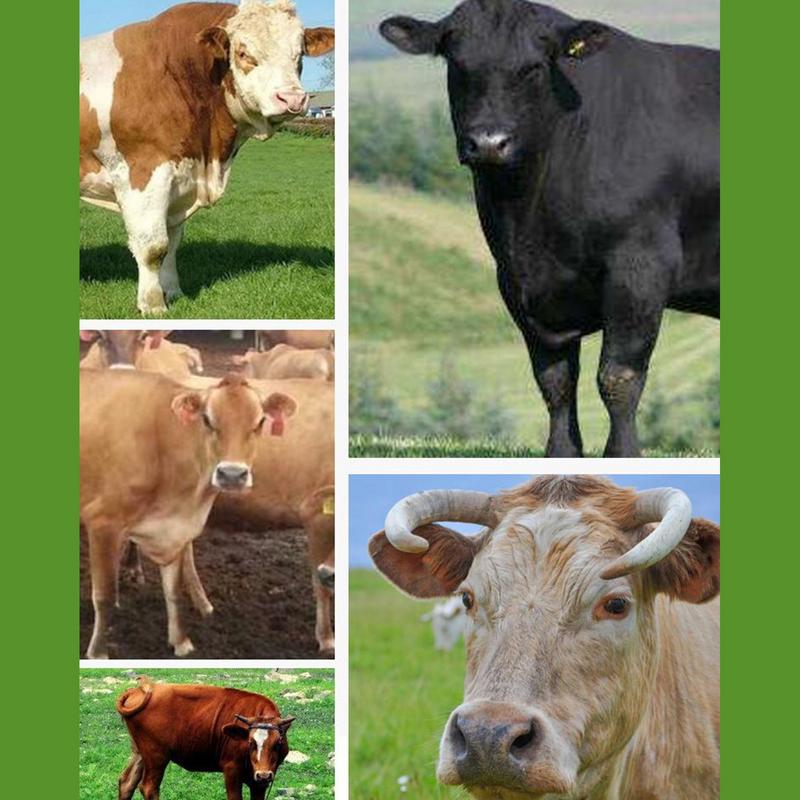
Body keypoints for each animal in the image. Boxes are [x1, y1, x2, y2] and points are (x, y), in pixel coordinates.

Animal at [80, 1, 335, 315]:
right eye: (243, 53)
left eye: (299, 54)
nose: (293, 99)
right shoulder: (143, 171)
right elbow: (153, 246)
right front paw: (153, 305)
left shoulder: (181, 179)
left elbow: (172, 243)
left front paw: (173, 292)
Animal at [80, 370, 297, 658]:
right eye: (207, 419)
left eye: (260, 421)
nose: (232, 475)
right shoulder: (103, 522)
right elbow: (104, 596)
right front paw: (98, 652)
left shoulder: (176, 531)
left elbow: (173, 591)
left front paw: (181, 642)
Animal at [117, 677, 295, 800]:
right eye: (250, 742)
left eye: (278, 742)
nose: (263, 775)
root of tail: (139, 690)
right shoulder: (231, 769)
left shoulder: (260, 782)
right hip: (156, 755)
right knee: (148, 787)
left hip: (141, 752)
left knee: (127, 783)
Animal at [380, 0, 719, 457]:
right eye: (458, 64)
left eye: (533, 68)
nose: (489, 142)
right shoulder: (515, 280)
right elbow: (554, 381)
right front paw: (561, 453)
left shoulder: (641, 265)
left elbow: (618, 378)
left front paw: (623, 454)